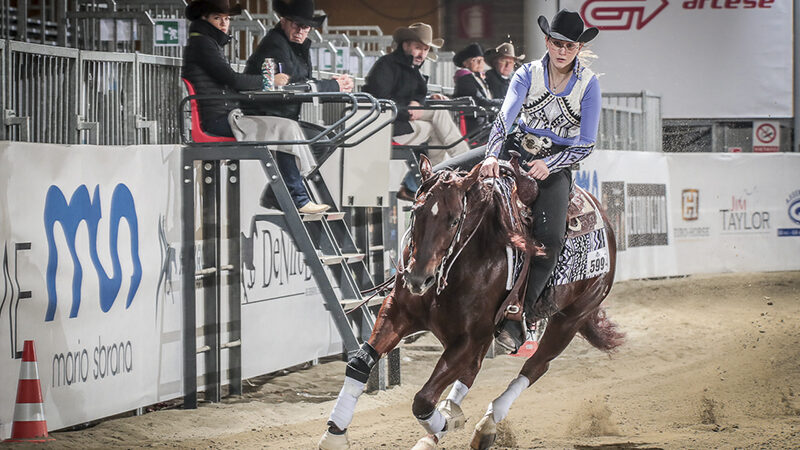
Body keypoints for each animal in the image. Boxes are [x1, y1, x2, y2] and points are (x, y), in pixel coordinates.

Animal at [318, 156, 624, 450]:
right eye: (416, 212)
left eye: (455, 220)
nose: (418, 279)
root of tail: (606, 224)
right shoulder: (399, 313)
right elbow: (360, 362)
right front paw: (335, 435)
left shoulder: (468, 337)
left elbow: (423, 399)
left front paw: (444, 424)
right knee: (472, 372)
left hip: (569, 319)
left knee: (536, 366)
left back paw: (485, 425)